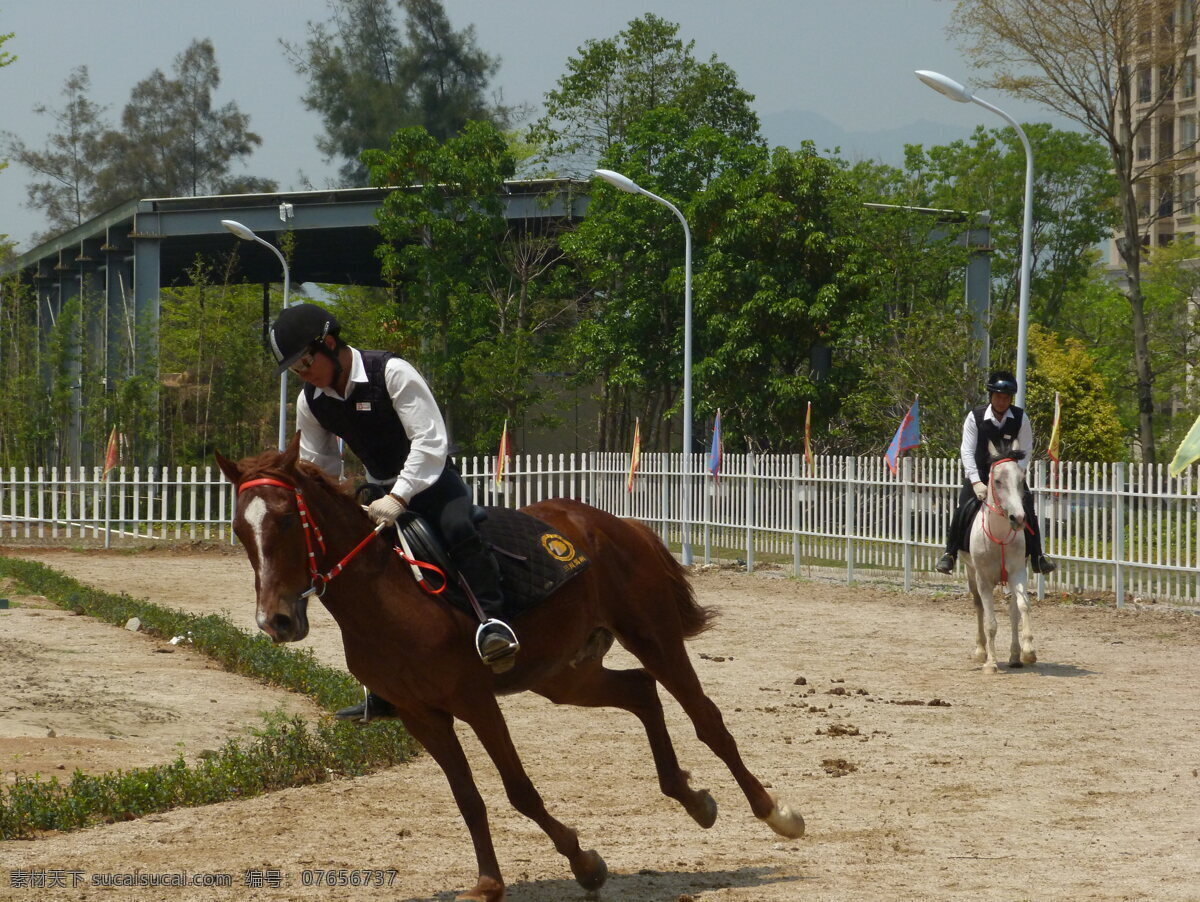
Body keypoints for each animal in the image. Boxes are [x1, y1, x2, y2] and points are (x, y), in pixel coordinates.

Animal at [216, 434, 801, 897]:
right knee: (640, 692)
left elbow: (518, 789)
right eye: (241, 531)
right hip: (565, 676)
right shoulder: (421, 717)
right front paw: (489, 883)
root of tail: (614, 523)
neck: (384, 594)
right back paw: (691, 797)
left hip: (653, 639)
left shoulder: (475, 702)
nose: (276, 621)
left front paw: (584, 863)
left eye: (286, 520)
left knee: (706, 718)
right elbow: (468, 799)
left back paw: (775, 812)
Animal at [960, 441, 1036, 671]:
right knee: (978, 607)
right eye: (998, 481)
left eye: (1021, 480)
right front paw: (991, 663)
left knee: (1013, 612)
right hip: (971, 573)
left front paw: (1028, 651)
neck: (1000, 535)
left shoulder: (1018, 572)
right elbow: (991, 623)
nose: (1018, 518)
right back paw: (981, 651)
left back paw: (1015, 656)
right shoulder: (983, 580)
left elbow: (1023, 606)